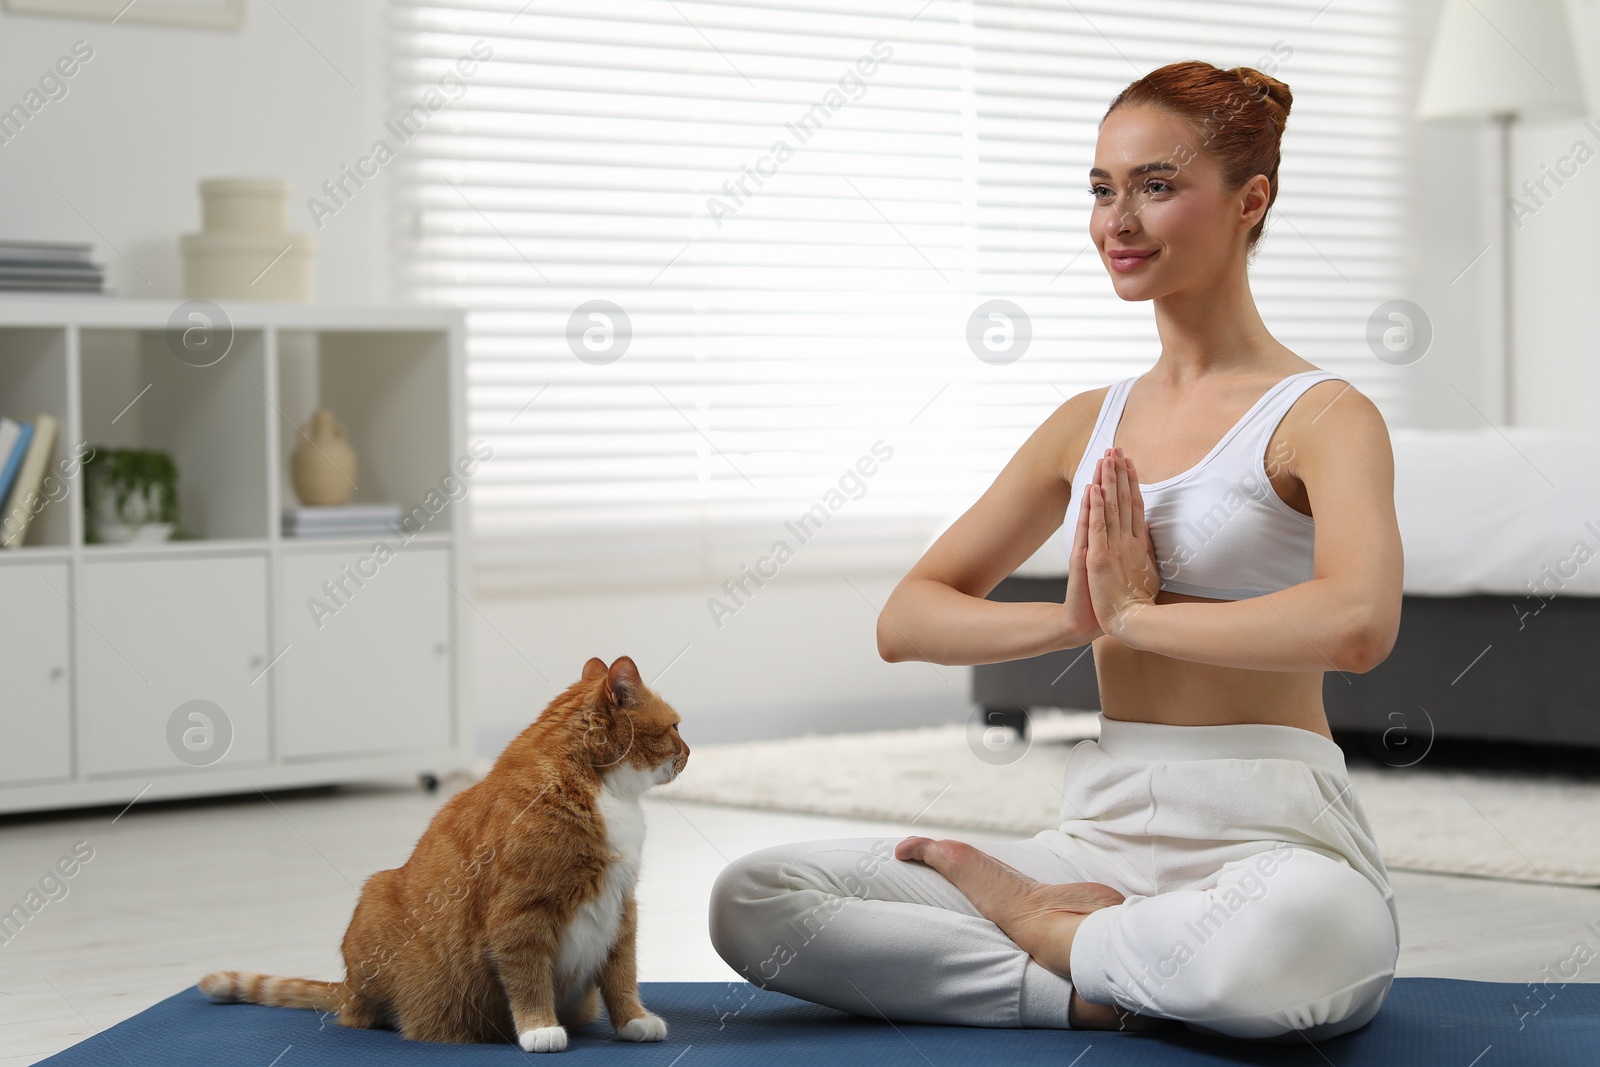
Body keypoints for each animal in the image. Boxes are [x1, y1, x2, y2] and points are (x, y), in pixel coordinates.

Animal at [198, 659, 688, 1049]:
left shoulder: (620, 908)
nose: (687, 752)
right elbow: (529, 979)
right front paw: (539, 1030)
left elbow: (622, 975)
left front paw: (634, 1022)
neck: (597, 788)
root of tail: (347, 986)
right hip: (377, 900)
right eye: (676, 728)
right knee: (358, 1016)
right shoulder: (521, 914)